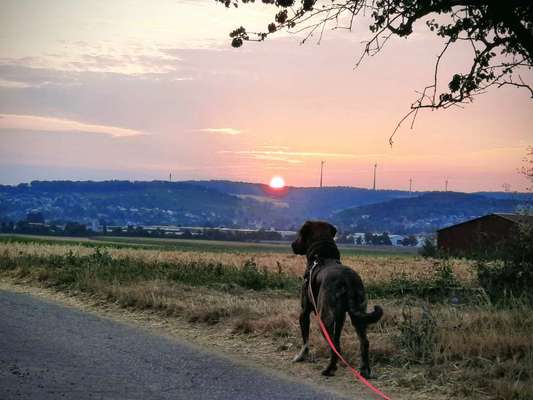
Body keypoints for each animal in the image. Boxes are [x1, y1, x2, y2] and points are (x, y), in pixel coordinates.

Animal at [290, 220, 382, 376]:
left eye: (300, 233)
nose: (292, 245)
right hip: (358, 315)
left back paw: (329, 369)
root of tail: (347, 280)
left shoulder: (304, 311)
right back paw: (365, 370)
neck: (322, 256)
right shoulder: (340, 318)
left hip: (324, 318)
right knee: (363, 342)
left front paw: (300, 357)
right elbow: (337, 336)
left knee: (335, 345)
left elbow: (305, 340)